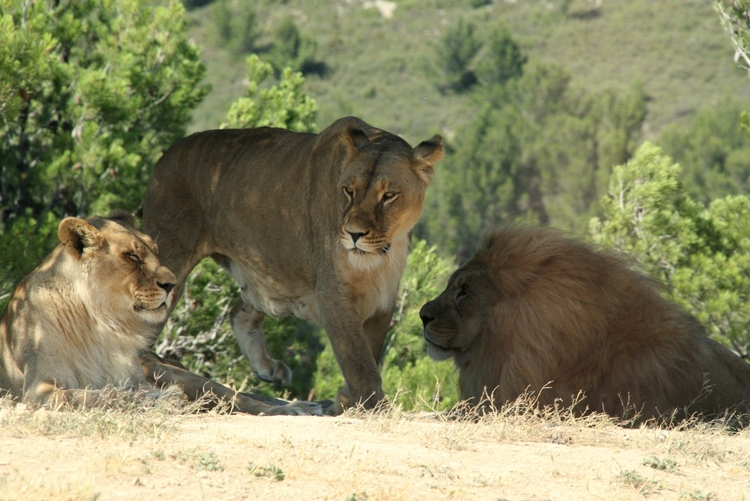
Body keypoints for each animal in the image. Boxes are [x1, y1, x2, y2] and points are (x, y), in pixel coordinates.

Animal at [0, 211, 320, 414]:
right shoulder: (38, 389)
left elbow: (120, 392)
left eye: (155, 250)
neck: (104, 325)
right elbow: (102, 395)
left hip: (166, 369)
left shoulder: (137, 377)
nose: (172, 283)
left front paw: (165, 398)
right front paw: (162, 401)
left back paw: (299, 408)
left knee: (237, 396)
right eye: (132, 256)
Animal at [142, 116, 440, 410]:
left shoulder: (383, 296)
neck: (379, 257)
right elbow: (357, 359)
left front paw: (348, 400)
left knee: (239, 311)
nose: (354, 234)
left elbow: (370, 352)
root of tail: (165, 156)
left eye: (389, 195)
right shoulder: (333, 292)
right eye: (348, 192)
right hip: (172, 257)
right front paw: (371, 405)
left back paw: (268, 368)